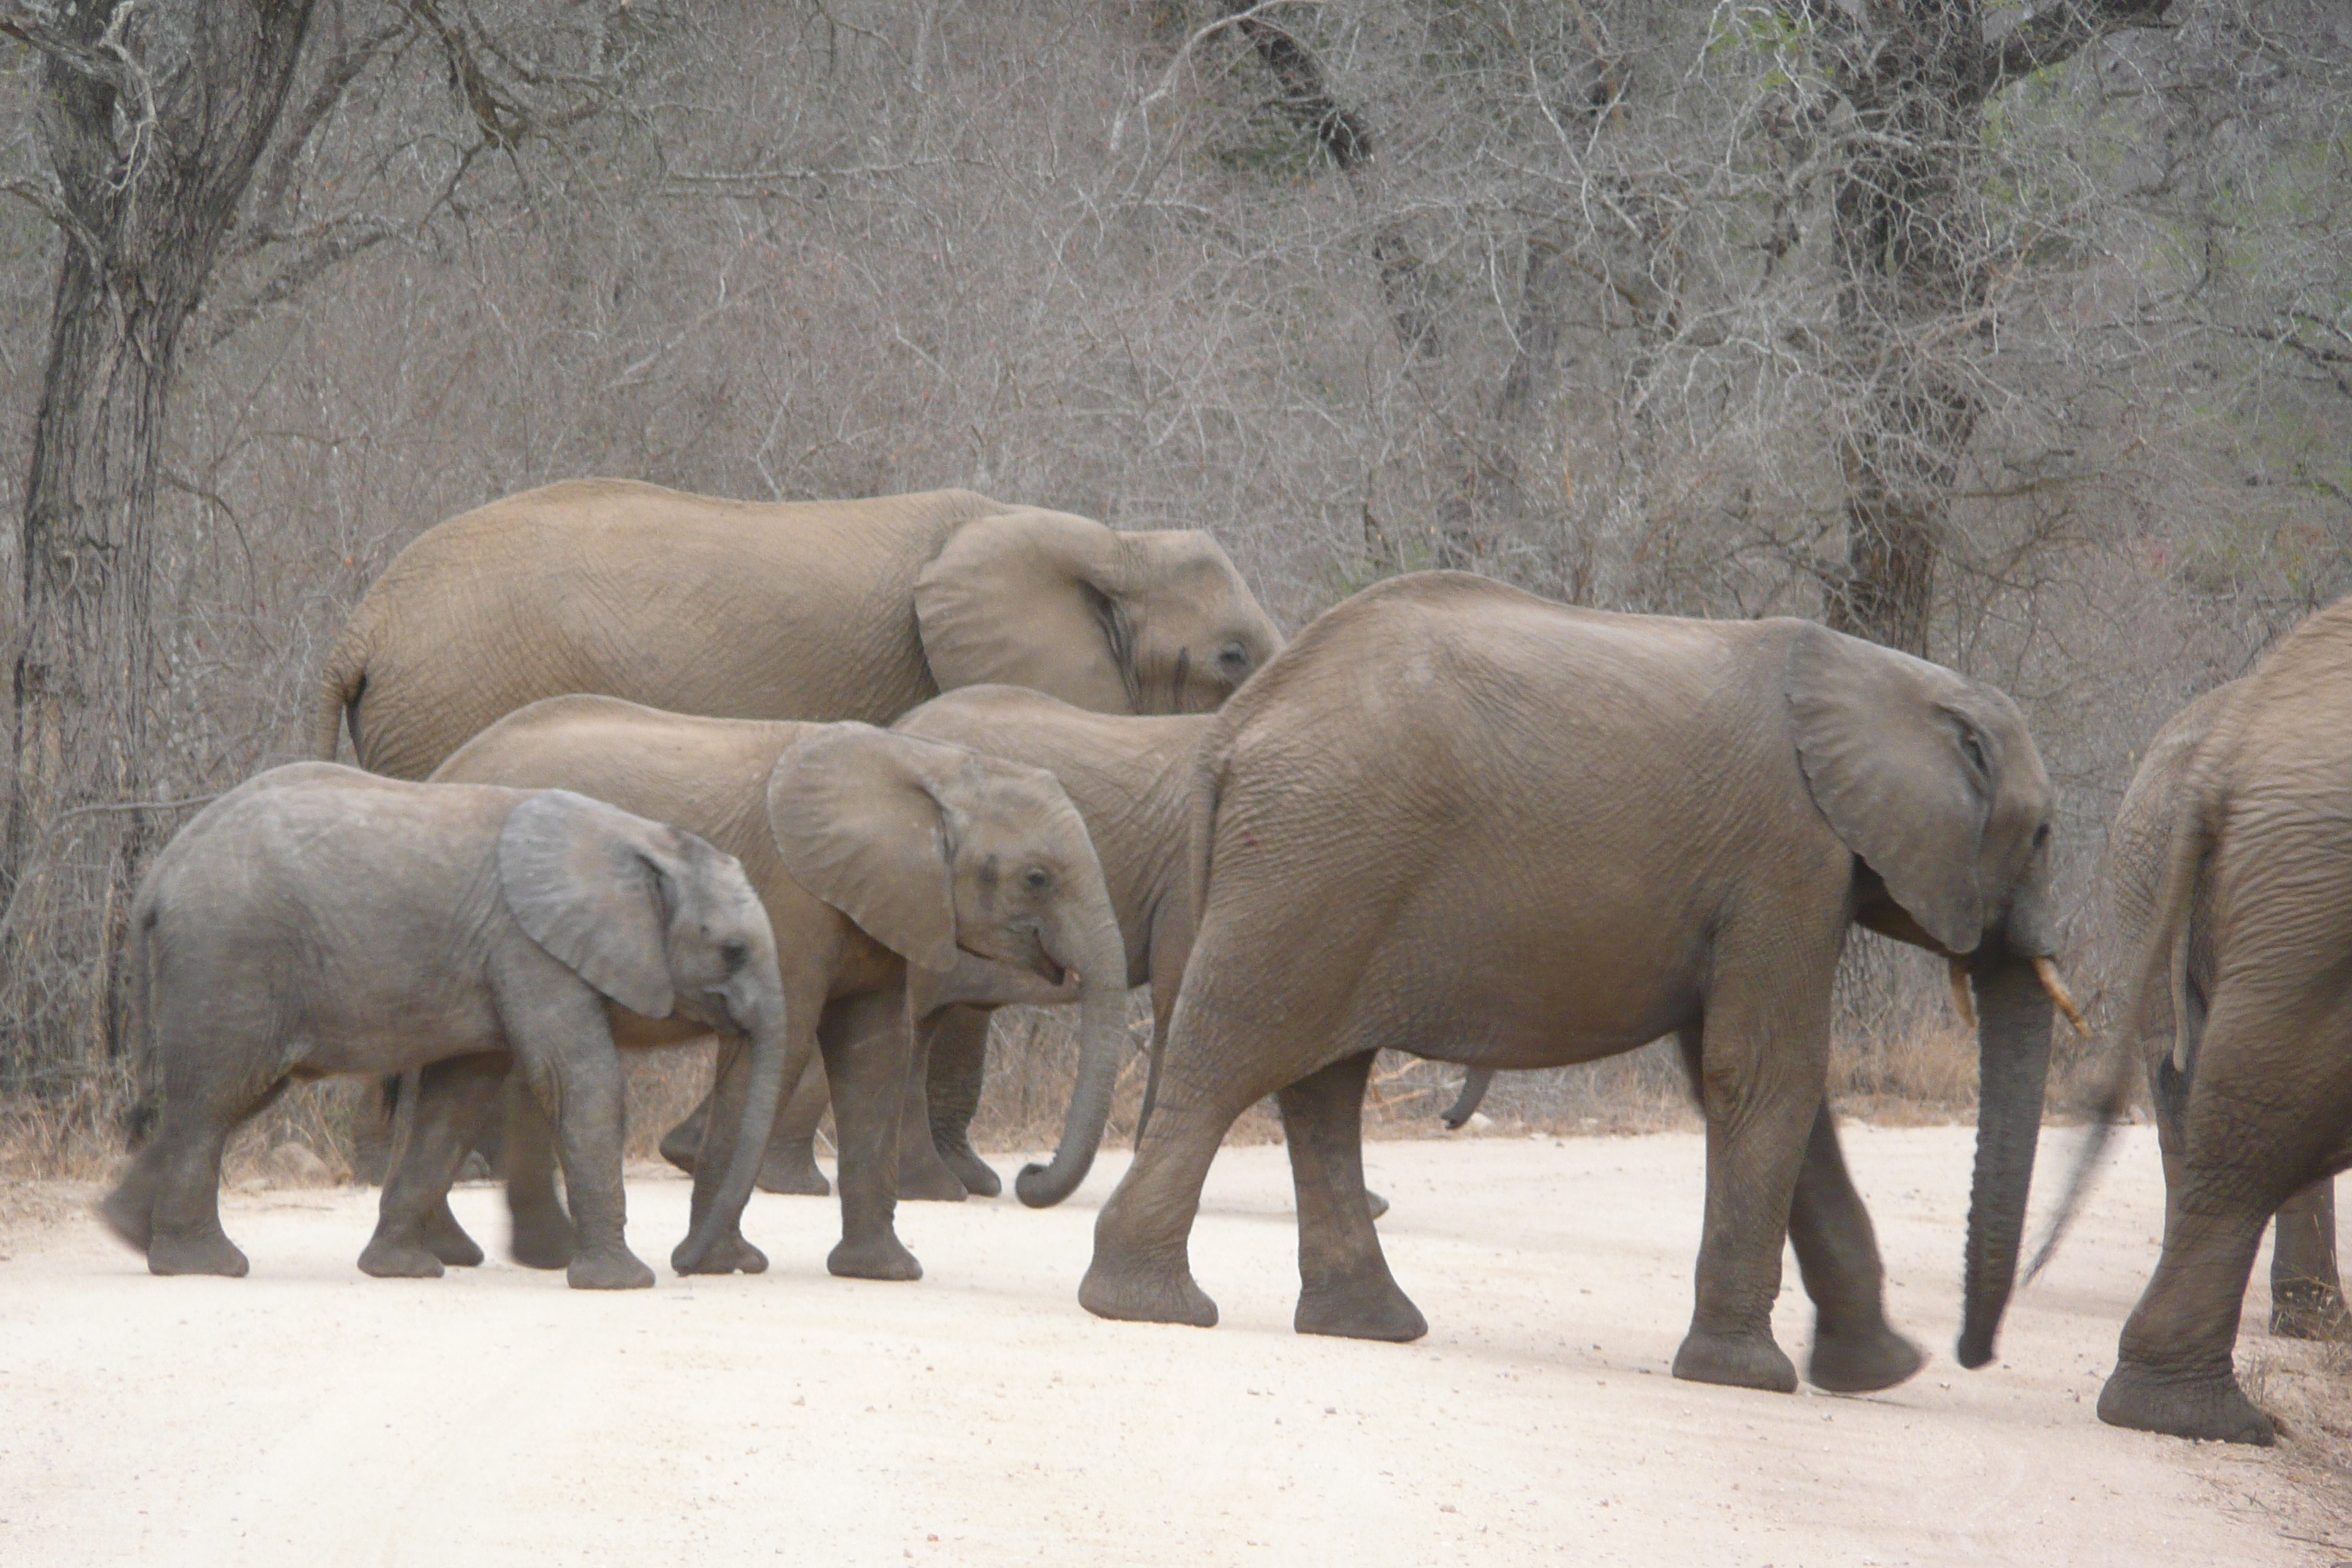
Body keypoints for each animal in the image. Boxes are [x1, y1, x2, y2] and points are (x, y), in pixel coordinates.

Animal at [101, 766, 785, 1297]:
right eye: (731, 952)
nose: (690, 1265)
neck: (642, 838)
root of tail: (158, 876)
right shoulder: (531, 949)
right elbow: (578, 1082)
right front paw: (624, 1284)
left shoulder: (498, 961)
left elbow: (455, 1102)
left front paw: (399, 1271)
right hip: (230, 955)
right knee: (217, 1096)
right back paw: (204, 1266)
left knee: (225, 1098)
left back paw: (127, 1233)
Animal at [1082, 571, 2078, 1401]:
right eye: (2041, 837)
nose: (1971, 1354)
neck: (1881, 675)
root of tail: (1233, 730)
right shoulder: (1790, 857)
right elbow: (1769, 1074)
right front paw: (1755, 1378)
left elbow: (1751, 1082)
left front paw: (1878, 1372)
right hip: (1318, 854)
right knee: (1236, 1055)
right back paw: (1150, 1305)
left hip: (1326, 863)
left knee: (1322, 1085)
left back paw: (1367, 1324)